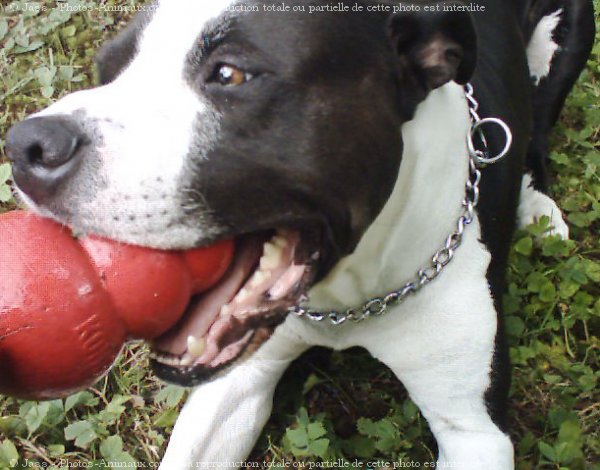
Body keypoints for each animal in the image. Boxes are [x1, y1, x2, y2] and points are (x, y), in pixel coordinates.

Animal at [4, 0, 596, 470]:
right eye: (107, 70)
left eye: (229, 74)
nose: (26, 146)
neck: (352, 296)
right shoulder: (233, 383)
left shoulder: (474, 430)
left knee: (538, 128)